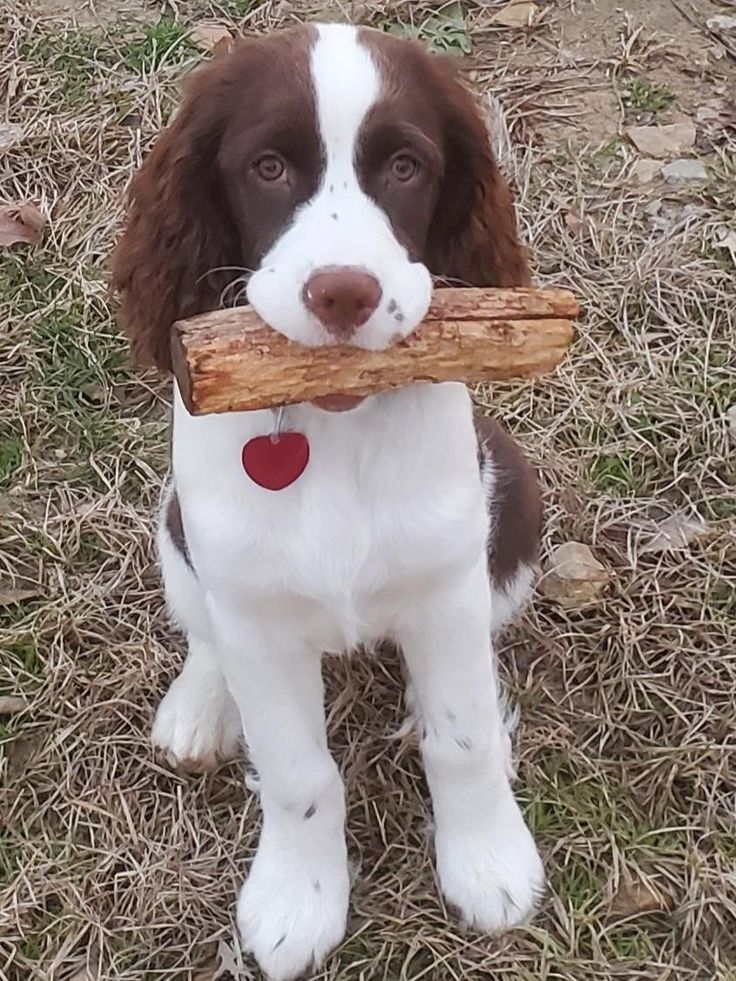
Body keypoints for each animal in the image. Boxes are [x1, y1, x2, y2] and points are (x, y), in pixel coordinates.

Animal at [112, 21, 544, 980]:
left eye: (407, 167)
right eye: (268, 166)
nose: (343, 292)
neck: (334, 428)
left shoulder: (447, 579)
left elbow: (464, 740)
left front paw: (489, 862)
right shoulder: (255, 610)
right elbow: (298, 771)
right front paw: (295, 902)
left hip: (513, 504)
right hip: (176, 527)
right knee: (207, 632)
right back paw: (200, 706)